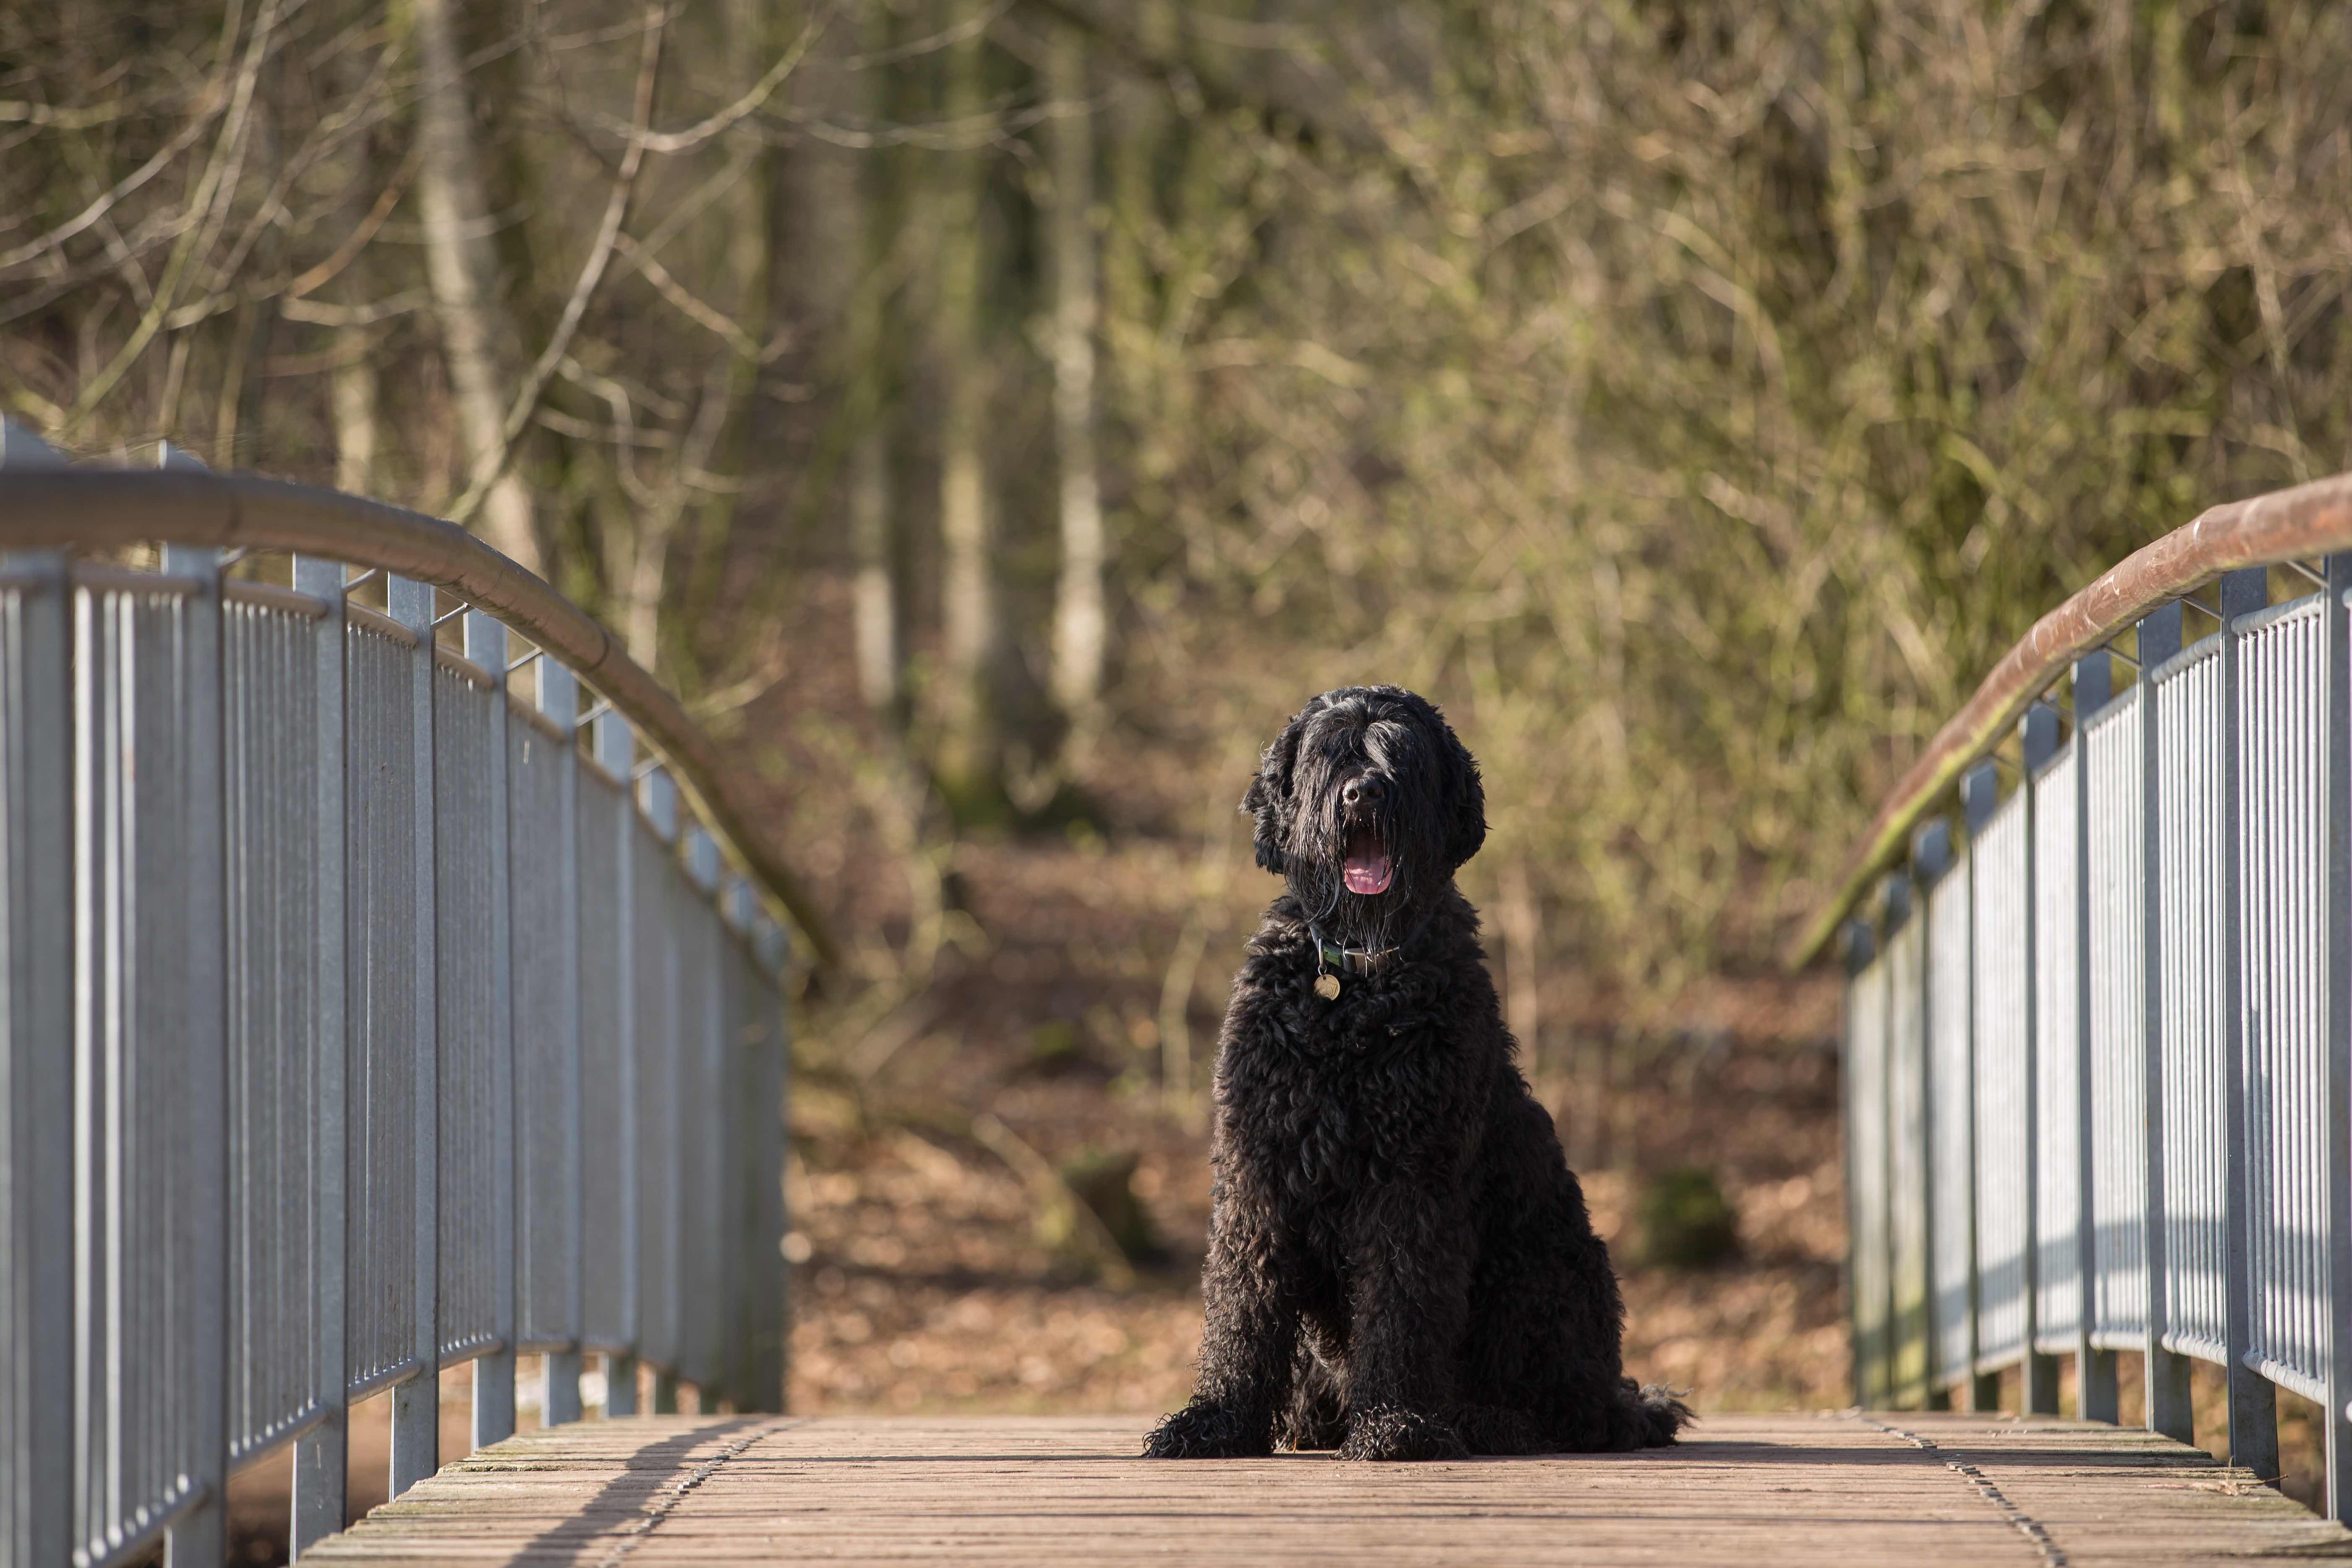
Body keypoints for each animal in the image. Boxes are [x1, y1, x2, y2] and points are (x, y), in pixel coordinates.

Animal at [1143, 691, 1684, 1467]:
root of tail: (1620, 1396)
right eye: (1333, 752)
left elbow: (1402, 1306)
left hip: (1537, 1273)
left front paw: (1395, 1422)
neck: (1354, 987)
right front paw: (1217, 1419)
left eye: (1399, 753)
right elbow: (1241, 1306)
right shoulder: (1258, 1170)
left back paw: (1479, 1420)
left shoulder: (1410, 1178)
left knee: (1561, 1411)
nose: (1364, 793)